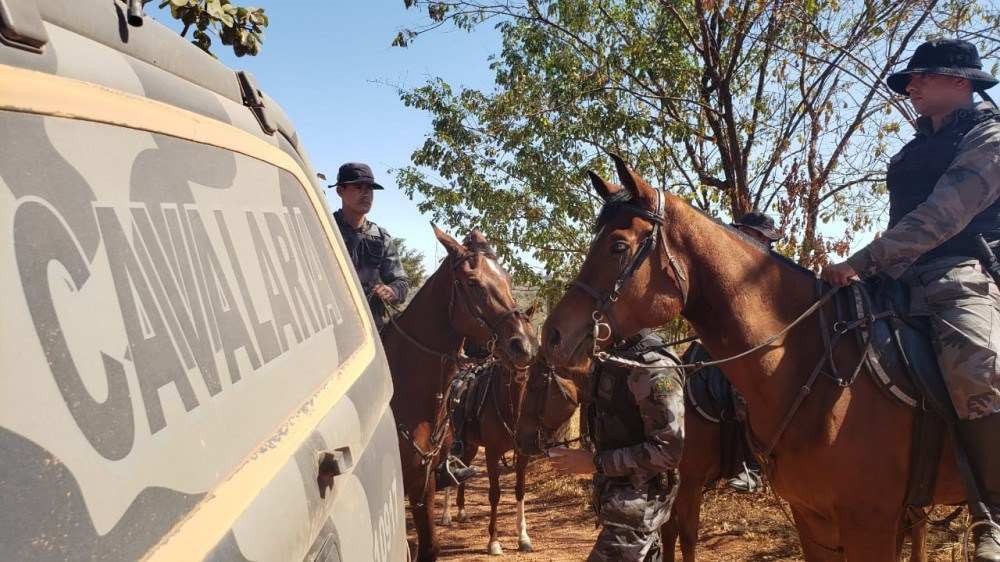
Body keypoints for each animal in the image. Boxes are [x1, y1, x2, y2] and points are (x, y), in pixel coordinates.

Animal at [384, 225, 540, 556]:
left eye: (508, 280)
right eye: (473, 283)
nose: (523, 346)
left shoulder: (424, 480)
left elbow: (518, 490)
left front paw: (523, 537)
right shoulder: (490, 453)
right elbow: (494, 493)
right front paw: (494, 542)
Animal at [544, 154, 964, 560]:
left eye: (618, 246)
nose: (553, 335)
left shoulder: (867, 520)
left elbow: (684, 537)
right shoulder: (813, 515)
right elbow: (674, 535)